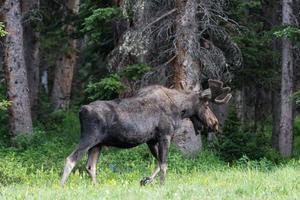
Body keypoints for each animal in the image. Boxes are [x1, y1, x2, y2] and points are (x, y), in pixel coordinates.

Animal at [59, 79, 231, 186]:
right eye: (206, 105)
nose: (215, 124)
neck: (179, 109)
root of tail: (81, 110)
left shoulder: (151, 140)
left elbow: (158, 163)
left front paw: (146, 180)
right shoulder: (165, 135)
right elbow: (164, 164)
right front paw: (162, 185)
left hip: (98, 144)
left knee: (90, 166)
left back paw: (96, 186)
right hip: (88, 138)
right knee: (71, 159)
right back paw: (61, 186)